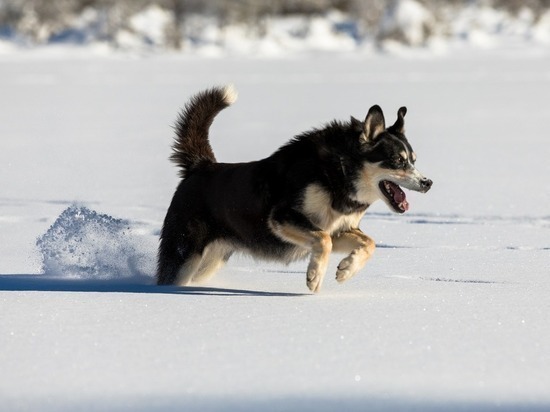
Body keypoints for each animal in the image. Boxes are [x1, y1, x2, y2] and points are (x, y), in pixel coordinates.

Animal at [157, 84, 434, 292]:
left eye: (414, 160)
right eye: (398, 160)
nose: (427, 183)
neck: (339, 172)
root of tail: (201, 166)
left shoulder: (340, 228)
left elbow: (369, 243)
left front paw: (346, 269)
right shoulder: (283, 217)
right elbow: (323, 241)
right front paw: (315, 276)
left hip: (210, 260)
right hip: (184, 255)